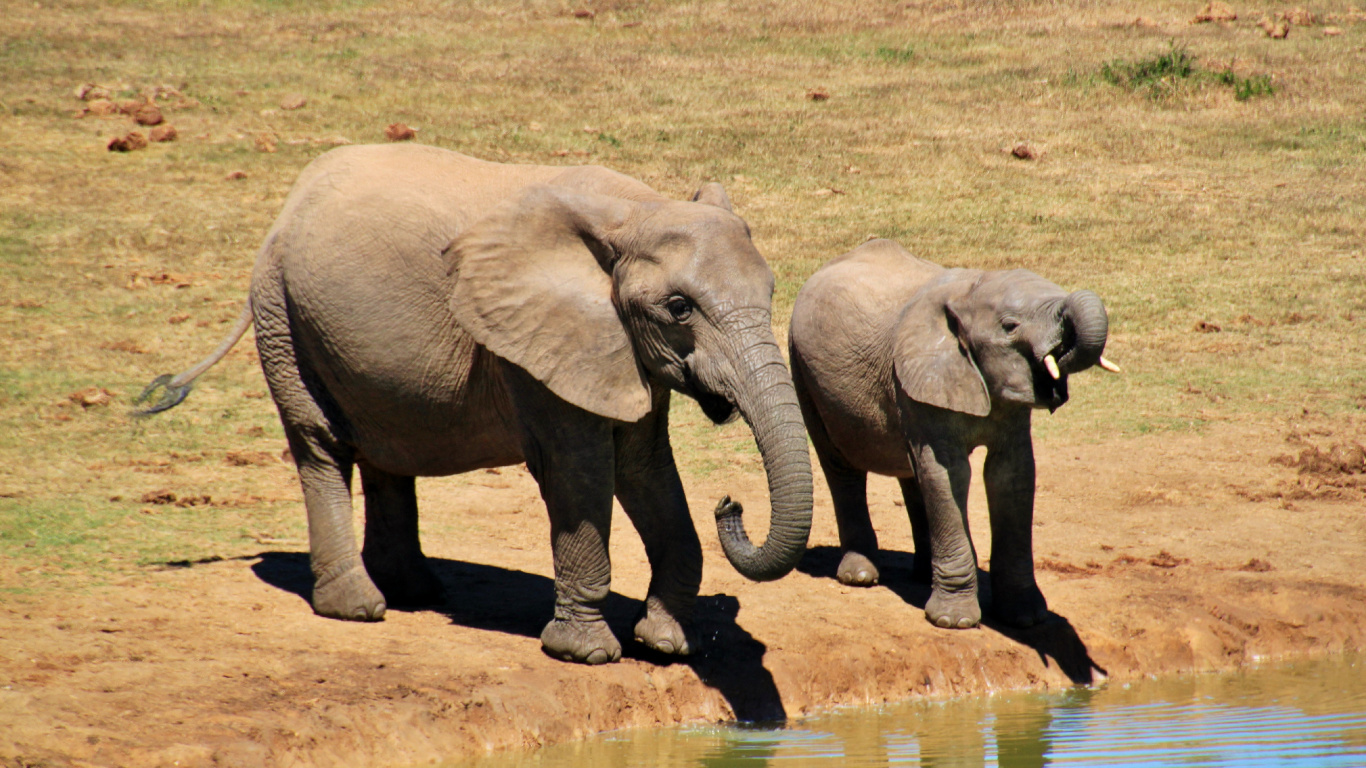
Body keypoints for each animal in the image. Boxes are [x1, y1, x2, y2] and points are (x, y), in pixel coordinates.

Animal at [138, 144, 814, 664]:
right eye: (679, 308)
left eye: (770, 291)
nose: (730, 502)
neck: (633, 209)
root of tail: (288, 205)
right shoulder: (531, 345)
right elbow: (579, 468)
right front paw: (586, 654)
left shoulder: (618, 347)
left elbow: (644, 466)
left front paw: (668, 644)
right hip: (282, 315)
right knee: (320, 445)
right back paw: (359, 608)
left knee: (385, 448)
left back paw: (414, 592)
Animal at [788, 239, 1116, 630]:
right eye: (1010, 326)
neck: (972, 290)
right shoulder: (921, 378)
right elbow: (949, 473)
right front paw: (953, 622)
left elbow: (1011, 474)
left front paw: (1025, 618)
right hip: (803, 370)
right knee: (842, 466)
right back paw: (860, 576)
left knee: (912, 471)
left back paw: (921, 574)